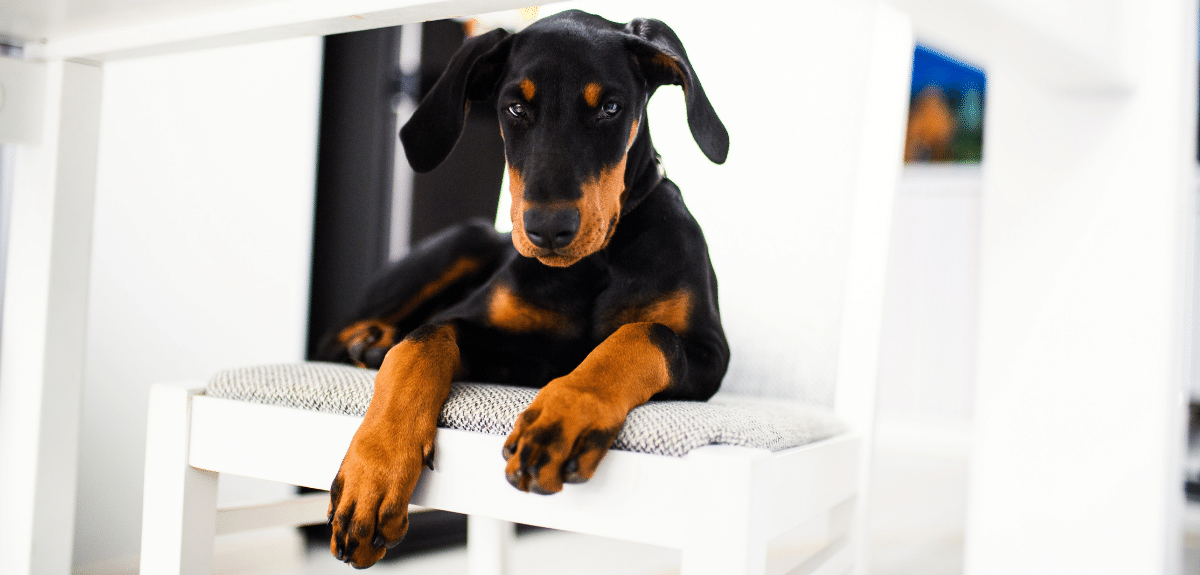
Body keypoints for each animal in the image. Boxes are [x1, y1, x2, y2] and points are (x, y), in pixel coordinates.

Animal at [321, 9, 729, 566]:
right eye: (515, 107)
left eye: (610, 108)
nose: (548, 230)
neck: (596, 263)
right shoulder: (500, 337)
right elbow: (421, 343)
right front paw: (374, 473)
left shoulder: (711, 354)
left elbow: (646, 333)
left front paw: (565, 416)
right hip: (468, 237)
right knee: (340, 338)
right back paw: (370, 342)